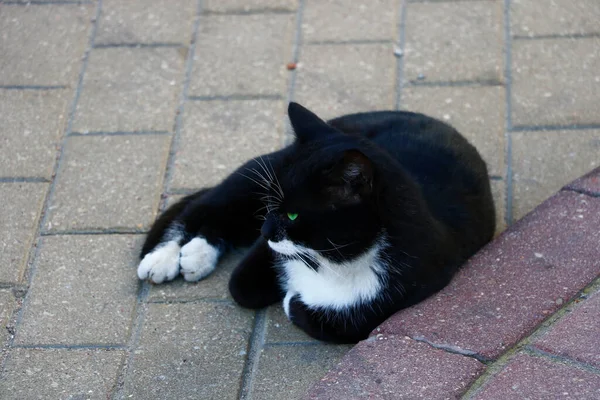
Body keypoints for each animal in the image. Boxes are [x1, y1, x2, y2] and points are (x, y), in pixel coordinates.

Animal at [138, 102, 494, 344]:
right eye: (271, 206)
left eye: (294, 215)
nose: (265, 229)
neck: (332, 260)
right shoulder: (266, 249)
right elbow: (241, 285)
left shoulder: (414, 280)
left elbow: (343, 322)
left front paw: (293, 299)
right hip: (257, 174)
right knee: (208, 206)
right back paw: (164, 257)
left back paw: (197, 254)